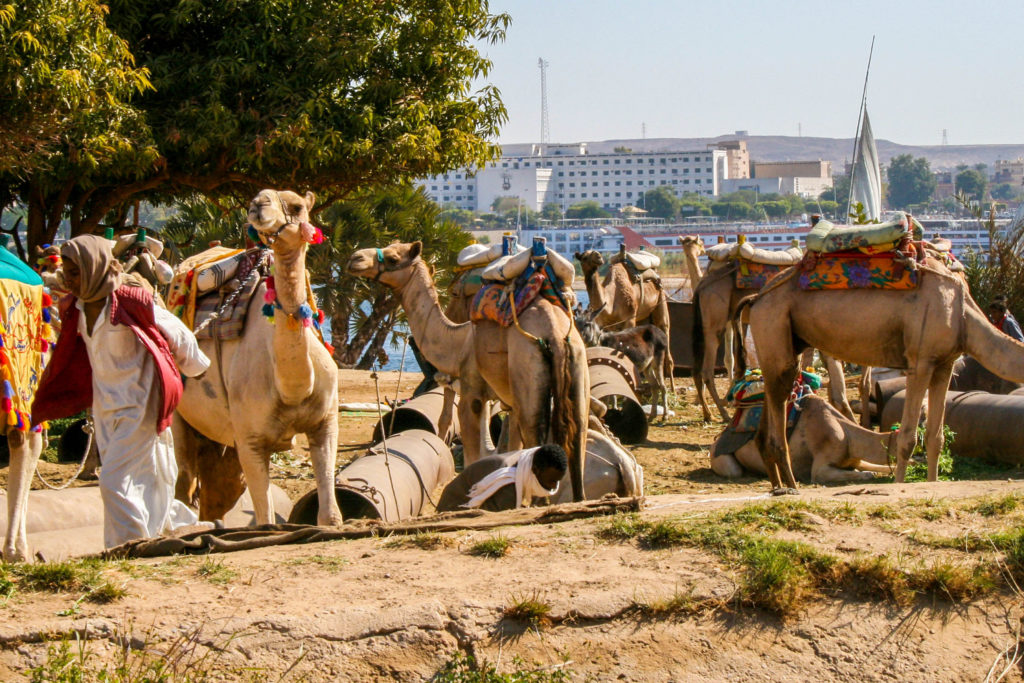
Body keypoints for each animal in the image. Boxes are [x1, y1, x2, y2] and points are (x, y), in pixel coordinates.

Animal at [174, 189, 343, 527]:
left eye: (297, 207)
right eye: (255, 199)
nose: (258, 205)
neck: (291, 388)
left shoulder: (326, 422)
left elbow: (330, 515)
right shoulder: (250, 438)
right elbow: (265, 518)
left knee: (218, 489)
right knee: (185, 482)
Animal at [347, 241, 589, 501]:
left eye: (393, 258)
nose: (356, 258)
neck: (459, 342)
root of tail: (554, 334)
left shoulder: (472, 394)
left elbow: (476, 455)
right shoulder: (507, 402)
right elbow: (507, 449)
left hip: (529, 373)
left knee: (538, 438)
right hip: (576, 365)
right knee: (577, 441)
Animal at [574, 249, 674, 392]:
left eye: (595, 253)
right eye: (584, 257)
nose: (599, 257)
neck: (610, 301)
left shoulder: (630, 318)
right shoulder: (605, 323)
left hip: (661, 301)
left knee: (666, 331)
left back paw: (672, 388)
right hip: (643, 317)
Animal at [711, 395, 894, 484]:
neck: (848, 435)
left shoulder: (854, 459)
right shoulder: (821, 467)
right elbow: (866, 474)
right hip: (721, 458)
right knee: (734, 471)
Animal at [742, 256, 1024, 492]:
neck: (963, 318)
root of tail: (756, 297)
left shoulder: (945, 364)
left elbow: (936, 437)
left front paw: (932, 482)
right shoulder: (920, 362)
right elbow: (908, 438)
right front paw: (900, 486)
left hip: (790, 342)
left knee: (772, 392)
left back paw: (777, 484)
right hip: (773, 324)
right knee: (781, 393)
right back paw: (791, 485)